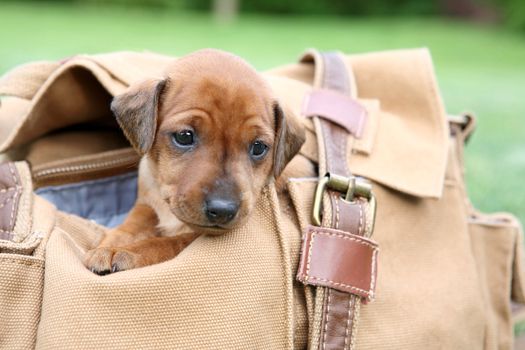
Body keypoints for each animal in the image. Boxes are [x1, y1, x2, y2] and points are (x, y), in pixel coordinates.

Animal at [84, 49, 304, 274]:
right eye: (184, 136)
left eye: (258, 147)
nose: (223, 210)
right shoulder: (146, 204)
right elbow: (132, 224)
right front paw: (111, 243)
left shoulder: (193, 239)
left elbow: (167, 243)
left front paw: (127, 251)